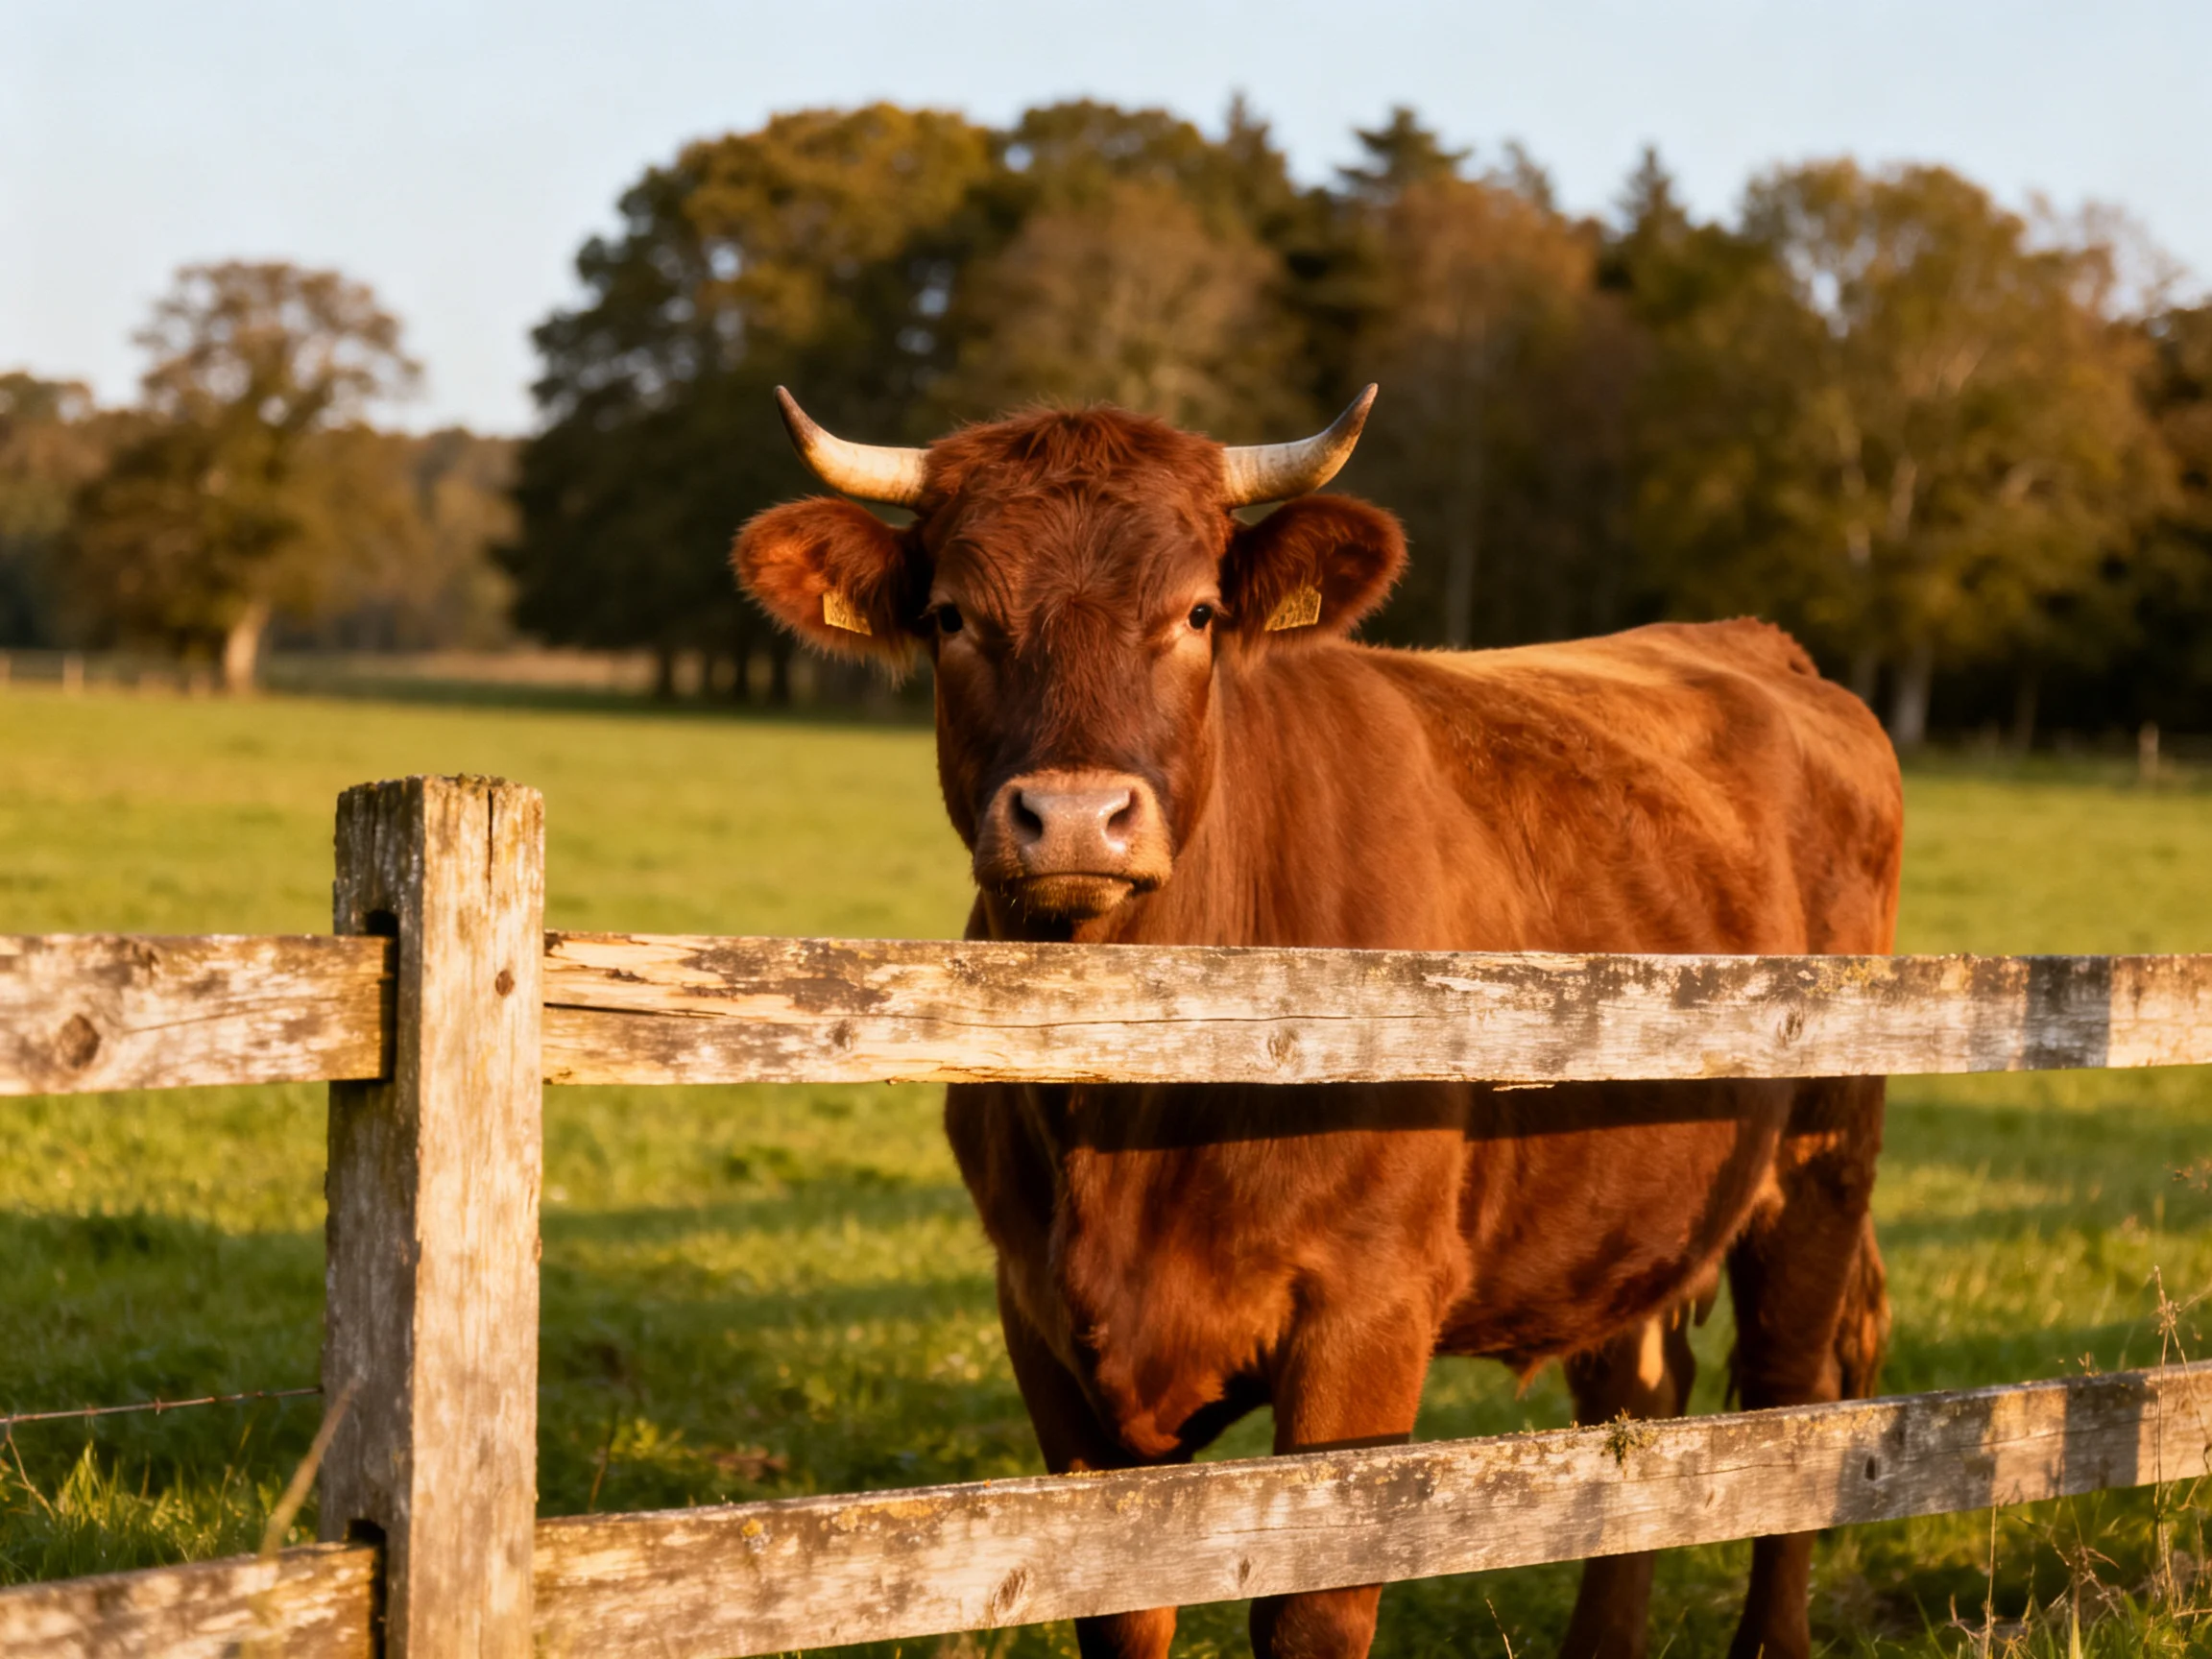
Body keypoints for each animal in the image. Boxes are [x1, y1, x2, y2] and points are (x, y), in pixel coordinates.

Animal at [734, 386, 1902, 1659]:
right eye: (951, 614)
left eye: (1198, 611)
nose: (1077, 820)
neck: (1127, 1112)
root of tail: (1755, 643)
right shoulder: (1040, 1319)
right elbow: (1118, 1605)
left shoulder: (1368, 1310)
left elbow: (1313, 1610)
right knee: (1639, 1398)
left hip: (1821, 1161)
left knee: (1792, 1398)